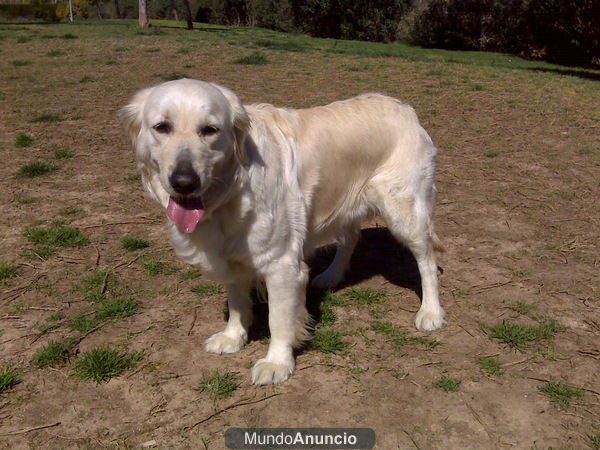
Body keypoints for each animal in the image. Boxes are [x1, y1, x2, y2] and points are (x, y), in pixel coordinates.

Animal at [119, 79, 442, 384]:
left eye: (210, 130)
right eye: (162, 127)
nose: (184, 182)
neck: (230, 191)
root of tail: (404, 107)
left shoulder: (283, 266)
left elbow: (278, 320)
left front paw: (276, 363)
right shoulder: (231, 254)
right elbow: (237, 300)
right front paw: (233, 336)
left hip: (404, 212)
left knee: (426, 261)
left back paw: (431, 312)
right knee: (350, 238)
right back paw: (331, 276)